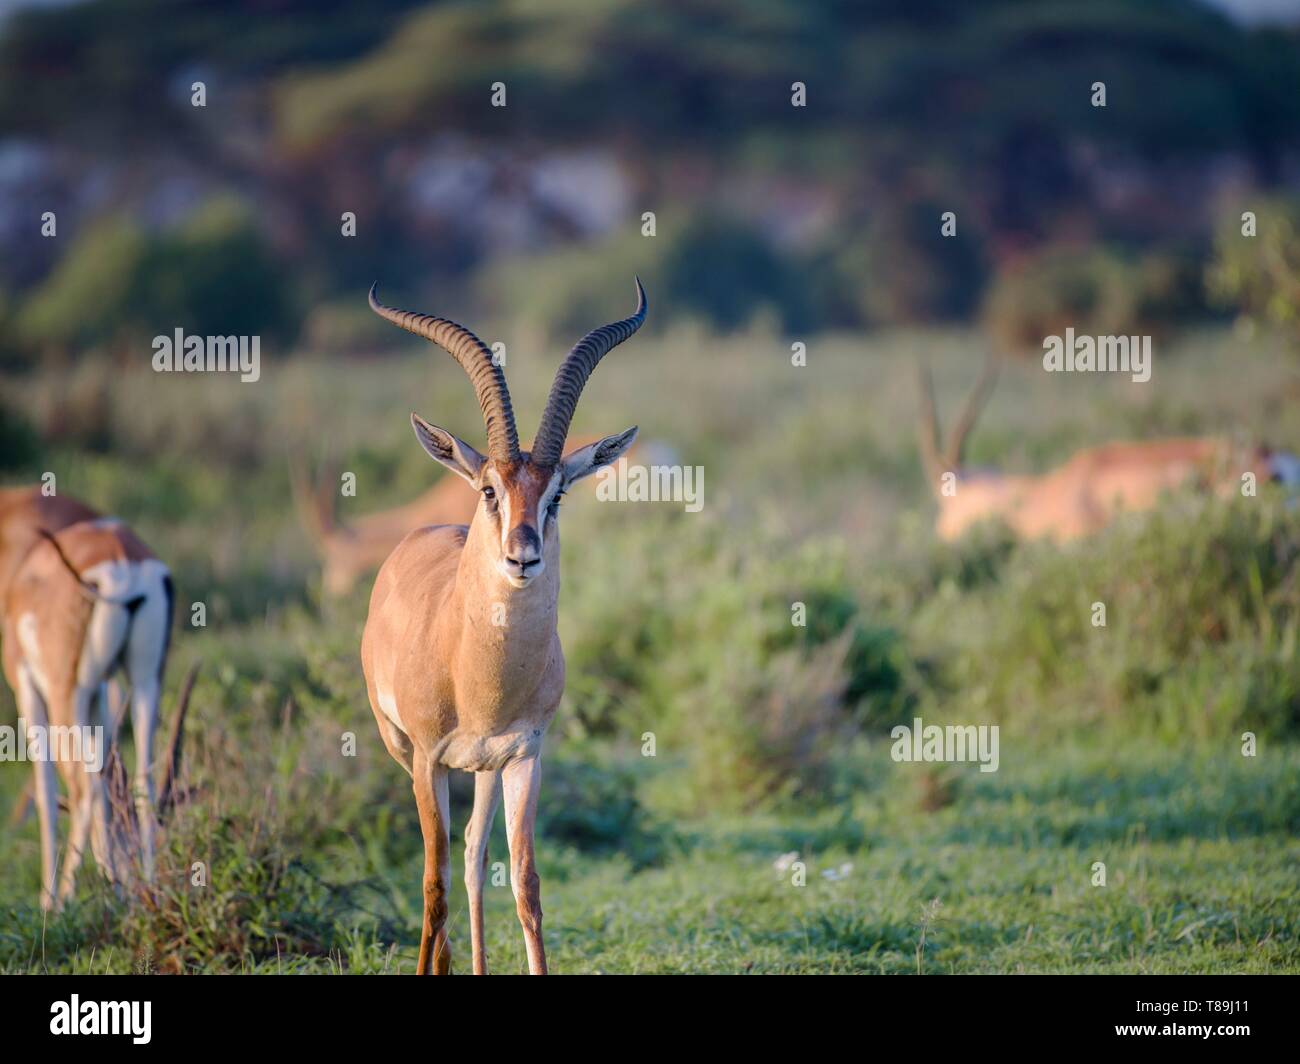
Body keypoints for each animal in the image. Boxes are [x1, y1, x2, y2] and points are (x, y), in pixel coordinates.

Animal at [3, 515, 172, 905]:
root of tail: (123, 559)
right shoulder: (100, 692)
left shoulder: (28, 687)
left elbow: (46, 791)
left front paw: (50, 898)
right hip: (145, 682)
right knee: (140, 780)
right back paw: (149, 889)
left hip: (67, 693)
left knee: (83, 787)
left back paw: (65, 899)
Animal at [358, 275, 647, 967]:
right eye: (490, 488)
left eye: (557, 494)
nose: (523, 556)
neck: (479, 676)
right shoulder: (428, 759)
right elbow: (431, 888)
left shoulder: (526, 757)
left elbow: (525, 883)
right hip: (401, 751)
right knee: (442, 867)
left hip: (485, 769)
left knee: (470, 852)